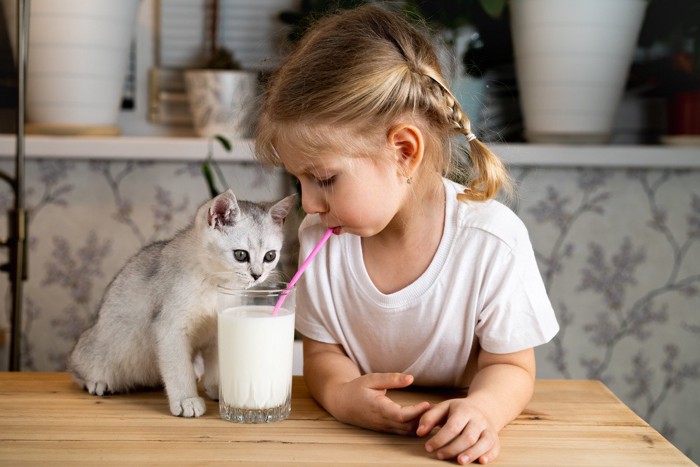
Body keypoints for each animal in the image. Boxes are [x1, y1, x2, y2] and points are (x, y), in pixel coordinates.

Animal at [67, 188, 294, 418]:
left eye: (270, 256)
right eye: (240, 255)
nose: (257, 275)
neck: (214, 284)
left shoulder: (215, 331)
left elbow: (216, 363)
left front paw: (217, 388)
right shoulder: (169, 329)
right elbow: (178, 369)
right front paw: (187, 400)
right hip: (100, 349)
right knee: (77, 368)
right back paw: (97, 382)